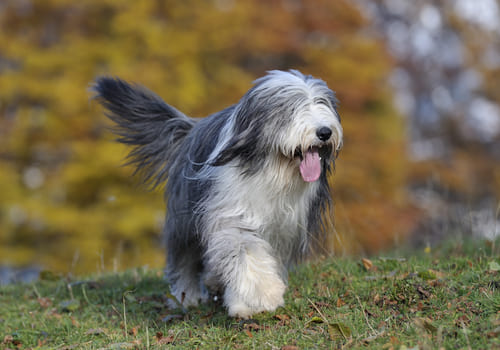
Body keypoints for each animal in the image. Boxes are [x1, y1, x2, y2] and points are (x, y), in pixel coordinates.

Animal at [93, 69, 342, 318]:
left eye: (322, 103)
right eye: (291, 109)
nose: (324, 132)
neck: (272, 172)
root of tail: (191, 128)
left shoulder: (285, 229)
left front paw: (243, 303)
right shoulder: (232, 212)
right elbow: (245, 252)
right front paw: (264, 294)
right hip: (185, 218)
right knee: (184, 257)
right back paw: (186, 296)